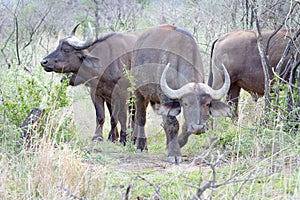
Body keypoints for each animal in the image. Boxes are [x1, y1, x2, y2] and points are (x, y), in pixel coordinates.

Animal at [131, 24, 230, 162]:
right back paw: (141, 145)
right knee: (141, 117)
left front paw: (175, 143)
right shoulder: (166, 98)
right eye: (186, 104)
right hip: (138, 91)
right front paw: (174, 152)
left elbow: (184, 126)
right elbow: (172, 124)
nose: (198, 128)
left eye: (207, 104)